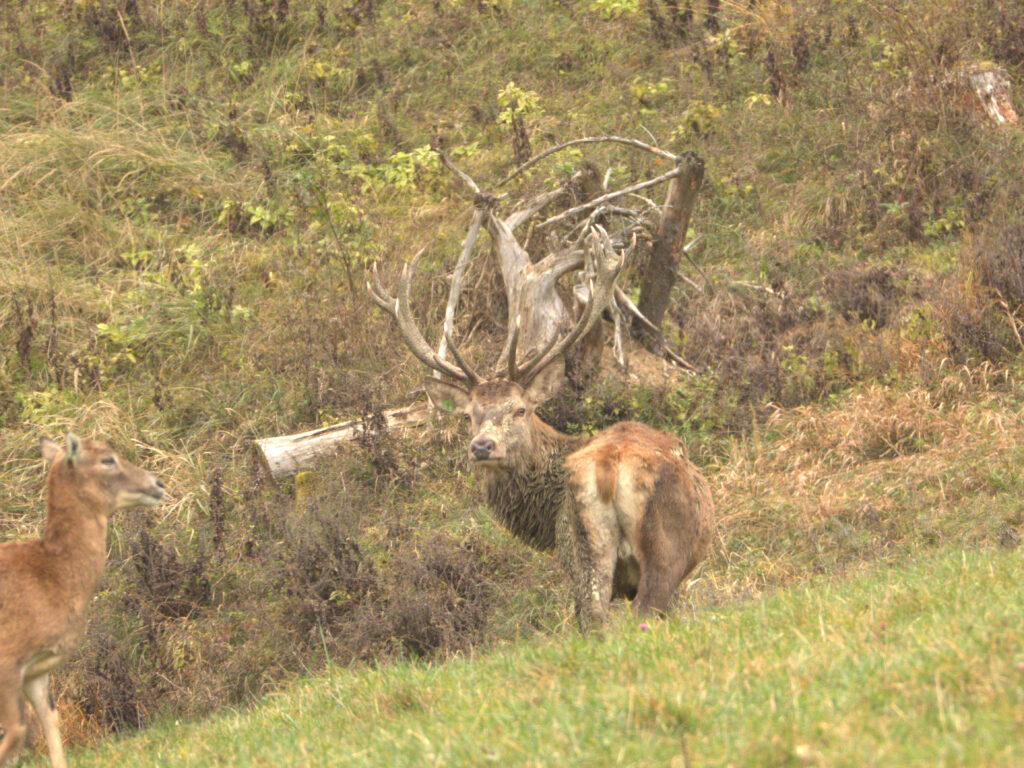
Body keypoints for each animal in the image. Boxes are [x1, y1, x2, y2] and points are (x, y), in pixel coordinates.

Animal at [0, 433, 165, 768]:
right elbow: (16, 732)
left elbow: (52, 723)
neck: (54, 577)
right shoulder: (7, 656)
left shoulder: (36, 670)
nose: (158, 483)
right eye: (107, 459)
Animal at [370, 236, 715, 631]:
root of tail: (611, 467)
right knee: (636, 612)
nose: (482, 446)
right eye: (469, 415)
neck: (543, 517)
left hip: (587, 545)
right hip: (656, 549)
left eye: (520, 409)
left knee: (595, 616)